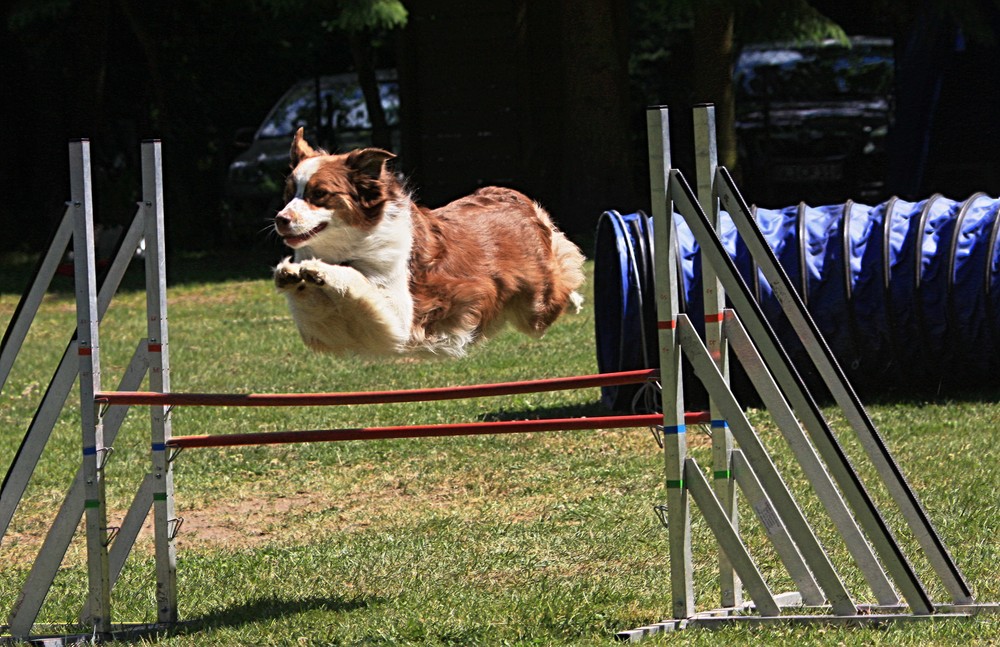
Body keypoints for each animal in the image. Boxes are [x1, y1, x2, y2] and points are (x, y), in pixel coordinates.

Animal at [274, 128, 584, 356]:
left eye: (319, 194)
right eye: (288, 194)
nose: (280, 219)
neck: (350, 248)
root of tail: (513, 195)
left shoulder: (399, 321)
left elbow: (357, 281)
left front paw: (321, 270)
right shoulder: (335, 332)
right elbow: (314, 310)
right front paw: (290, 274)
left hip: (534, 308)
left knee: (562, 277)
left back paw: (575, 300)